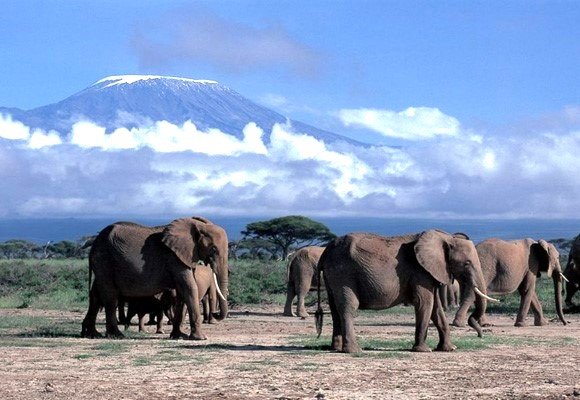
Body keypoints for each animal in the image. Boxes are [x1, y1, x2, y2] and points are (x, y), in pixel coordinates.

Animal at [81, 217, 229, 340]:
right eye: (213, 249)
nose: (215, 313)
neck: (197, 226)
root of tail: (94, 243)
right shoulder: (174, 258)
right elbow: (189, 288)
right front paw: (200, 338)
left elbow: (182, 294)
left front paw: (178, 336)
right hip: (104, 260)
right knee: (110, 296)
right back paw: (116, 335)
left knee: (96, 295)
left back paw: (91, 334)